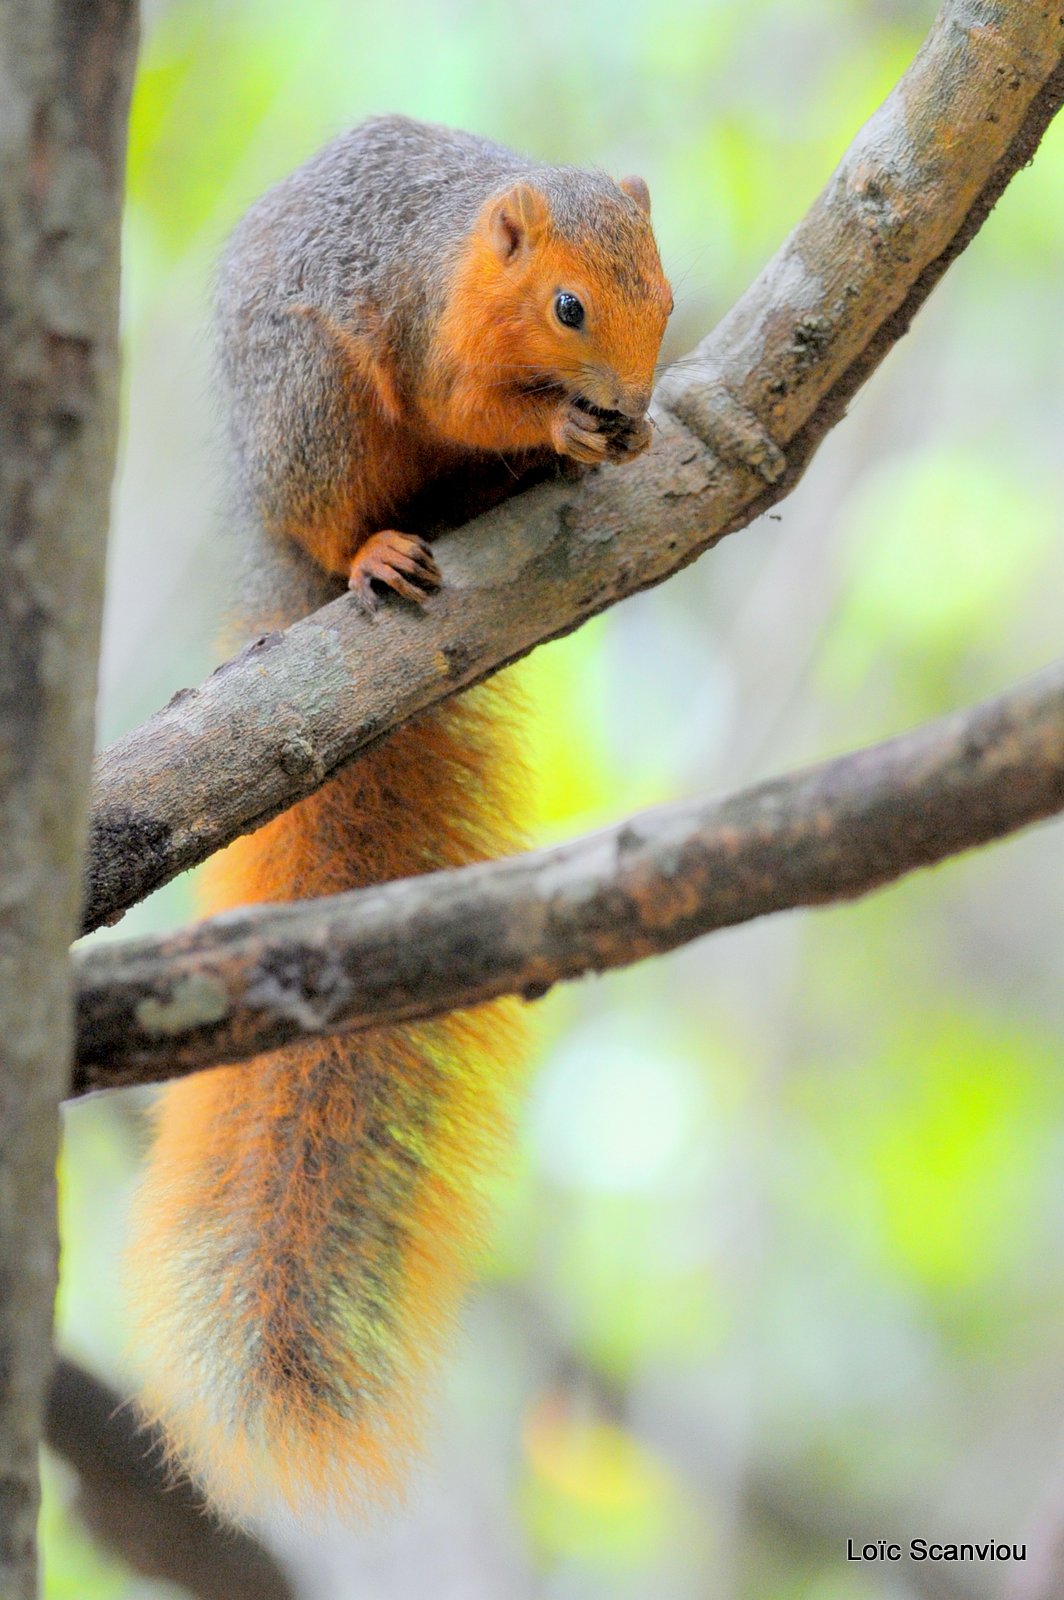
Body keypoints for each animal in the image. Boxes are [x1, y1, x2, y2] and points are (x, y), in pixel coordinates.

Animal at [126, 116, 672, 1523]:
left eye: (662, 292)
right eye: (570, 306)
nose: (626, 401)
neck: (470, 249)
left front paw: (618, 436)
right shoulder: (430, 326)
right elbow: (453, 400)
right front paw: (565, 425)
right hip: (310, 412)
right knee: (346, 509)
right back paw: (377, 549)